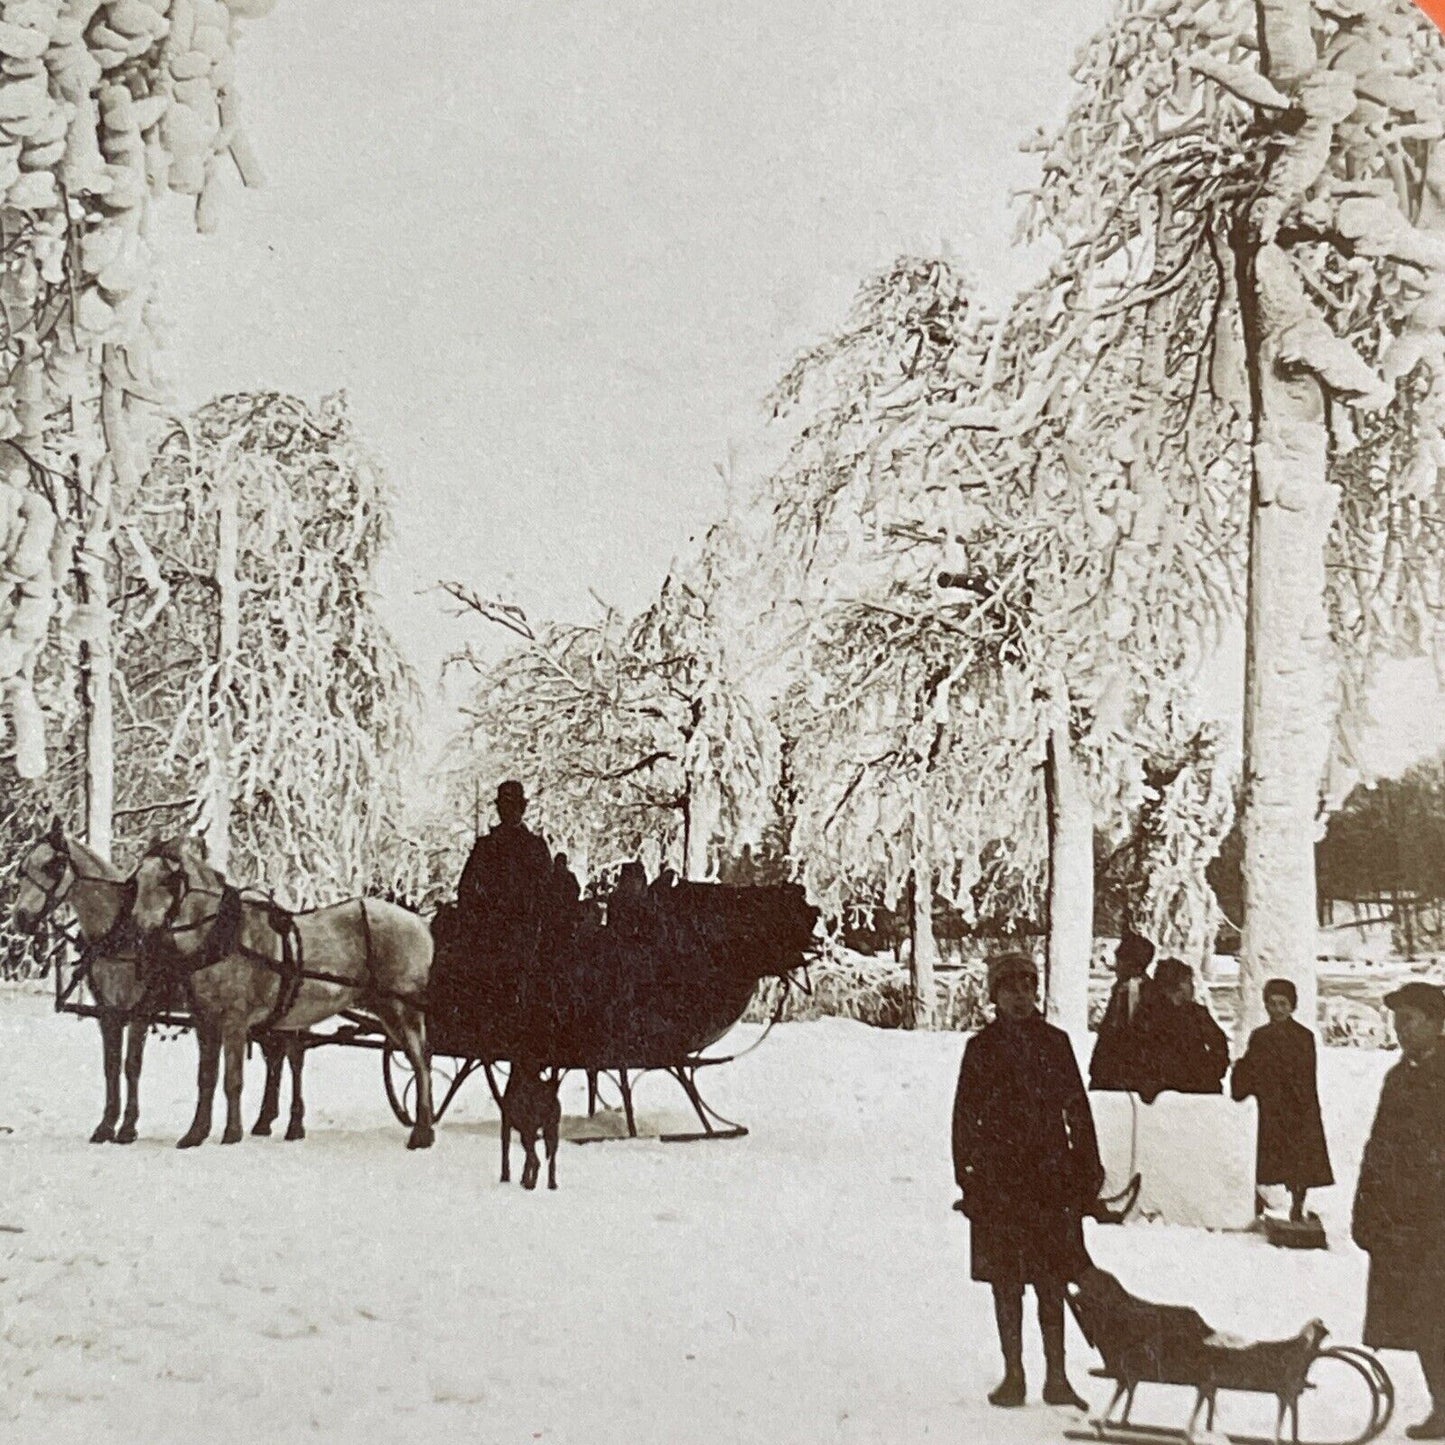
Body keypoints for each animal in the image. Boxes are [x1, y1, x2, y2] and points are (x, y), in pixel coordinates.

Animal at [499, 1057, 560, 1190]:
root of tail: (549, 1093)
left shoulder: (507, 1125)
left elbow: (506, 1155)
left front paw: (505, 1178)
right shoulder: (530, 1132)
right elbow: (527, 1161)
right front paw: (522, 1179)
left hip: (527, 1133)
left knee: (536, 1161)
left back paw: (530, 1184)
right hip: (551, 1130)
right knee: (551, 1161)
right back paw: (551, 1184)